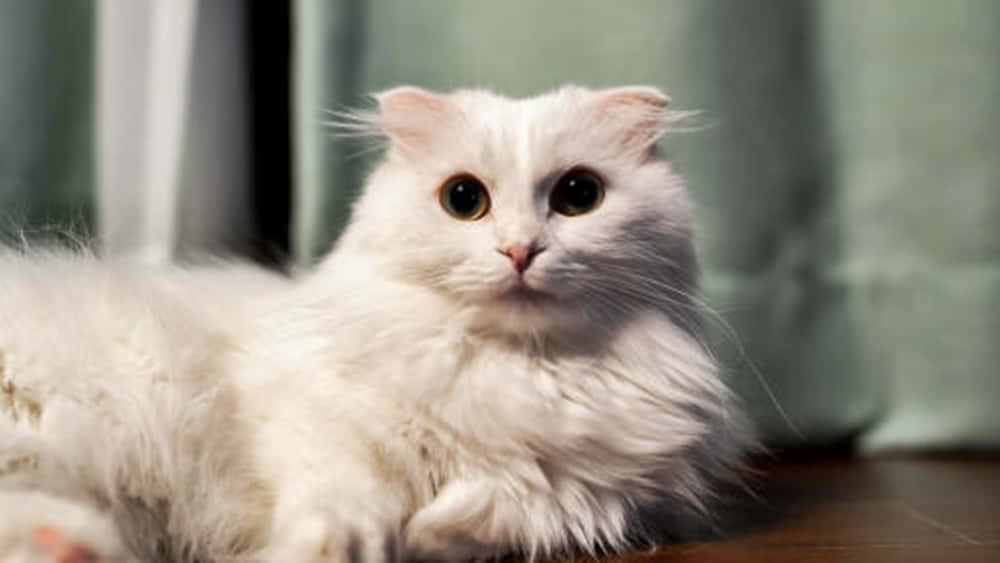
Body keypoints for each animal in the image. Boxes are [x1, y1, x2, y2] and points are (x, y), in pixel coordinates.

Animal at [0, 86, 752, 560]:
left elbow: (480, 515)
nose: (519, 250)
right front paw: (332, 548)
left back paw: (72, 549)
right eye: (463, 199)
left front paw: (421, 533)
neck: (517, 371)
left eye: (578, 195)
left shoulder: (587, 502)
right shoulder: (308, 425)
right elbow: (344, 497)